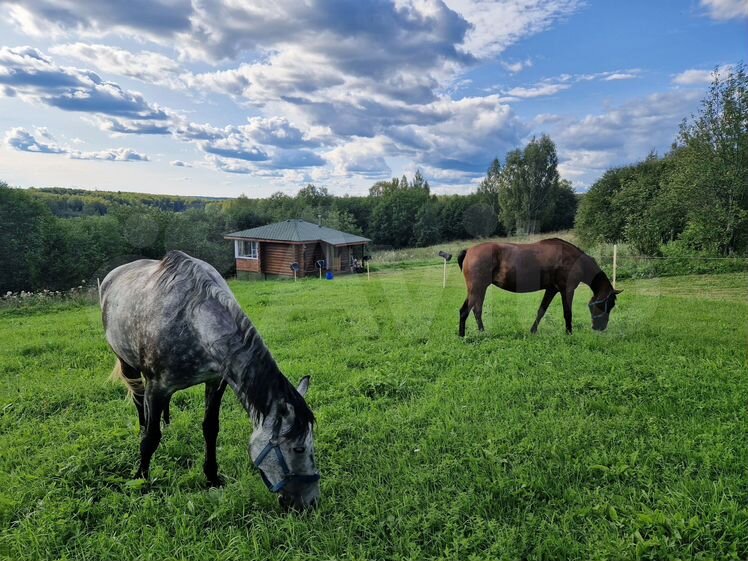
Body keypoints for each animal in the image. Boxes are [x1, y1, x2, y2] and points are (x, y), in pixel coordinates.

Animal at [99, 252, 318, 510]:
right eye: (298, 448)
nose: (310, 502)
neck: (192, 320)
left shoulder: (215, 382)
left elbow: (211, 429)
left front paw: (212, 477)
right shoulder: (157, 387)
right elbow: (151, 438)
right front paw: (140, 478)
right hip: (127, 364)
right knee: (138, 399)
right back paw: (143, 427)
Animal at [458, 237, 624, 334]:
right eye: (608, 304)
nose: (600, 327)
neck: (575, 259)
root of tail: (469, 251)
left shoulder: (552, 290)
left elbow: (541, 311)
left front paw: (533, 331)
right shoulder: (567, 290)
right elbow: (567, 312)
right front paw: (569, 333)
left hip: (480, 289)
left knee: (477, 310)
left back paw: (482, 332)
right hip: (476, 288)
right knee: (464, 311)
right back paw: (462, 336)